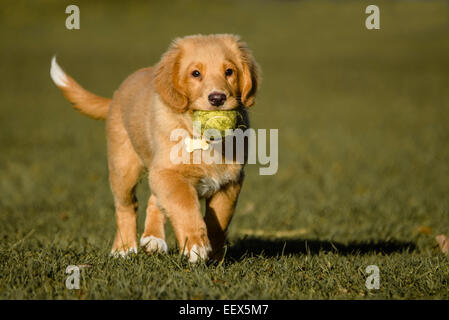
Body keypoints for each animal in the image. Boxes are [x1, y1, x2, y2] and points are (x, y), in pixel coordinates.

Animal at [50, 33, 260, 262]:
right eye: (195, 73)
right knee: (127, 206)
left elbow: (219, 219)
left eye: (229, 71)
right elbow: (185, 205)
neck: (202, 138)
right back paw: (124, 248)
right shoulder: (168, 172)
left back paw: (153, 240)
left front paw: (214, 253)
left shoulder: (229, 181)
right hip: (123, 168)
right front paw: (196, 245)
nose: (217, 98)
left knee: (153, 200)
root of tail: (116, 94)